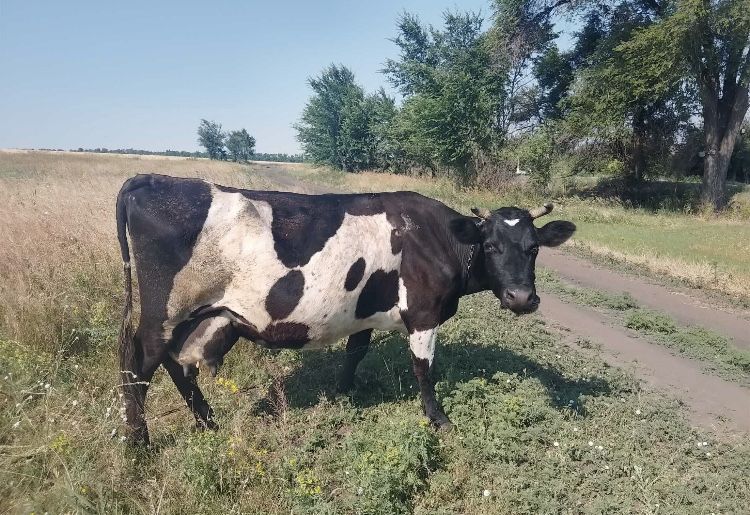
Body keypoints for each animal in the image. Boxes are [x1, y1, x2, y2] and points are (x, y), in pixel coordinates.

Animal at [116, 173, 575, 444]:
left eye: (534, 248)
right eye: (491, 246)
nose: (521, 298)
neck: (435, 237)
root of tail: (152, 179)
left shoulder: (364, 312)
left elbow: (356, 352)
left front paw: (342, 393)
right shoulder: (423, 314)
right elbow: (424, 370)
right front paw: (438, 420)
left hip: (195, 317)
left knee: (175, 364)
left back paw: (207, 422)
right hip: (165, 312)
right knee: (140, 365)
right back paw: (140, 445)